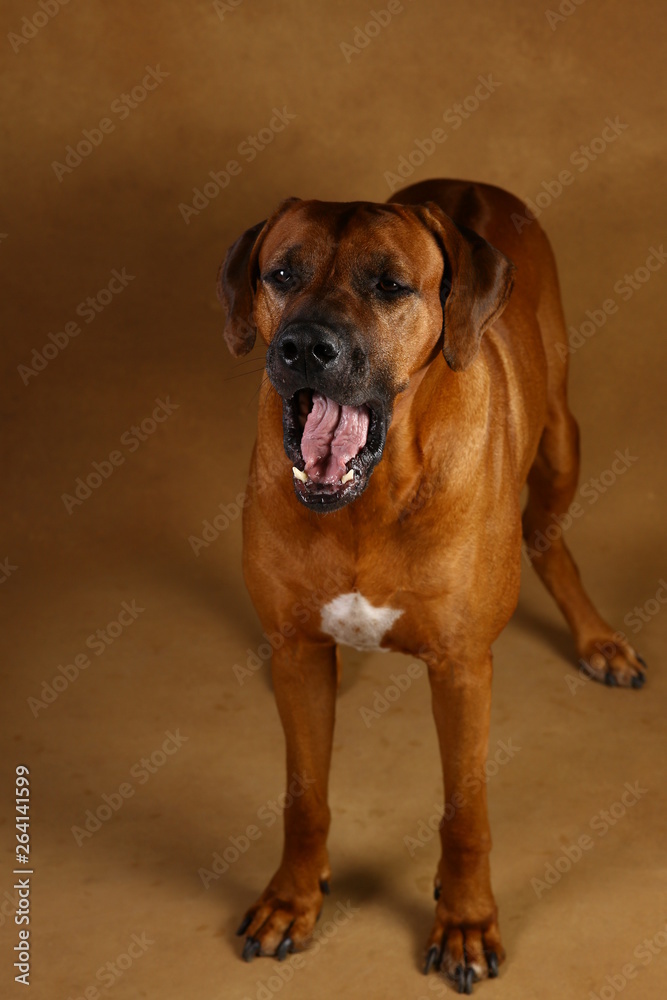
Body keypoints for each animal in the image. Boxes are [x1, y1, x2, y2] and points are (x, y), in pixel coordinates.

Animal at [219, 180, 648, 992]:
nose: (303, 347)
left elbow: (464, 813)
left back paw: (598, 638)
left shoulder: (462, 669)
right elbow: (303, 796)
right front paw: (293, 897)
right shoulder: (297, 652)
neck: (371, 497)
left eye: (390, 285)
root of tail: (471, 188)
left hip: (561, 441)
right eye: (281, 273)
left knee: (547, 540)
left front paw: (466, 921)